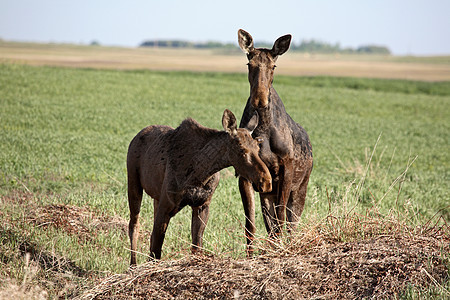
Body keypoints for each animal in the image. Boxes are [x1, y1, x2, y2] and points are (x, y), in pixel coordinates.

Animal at [128, 109, 272, 264]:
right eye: (241, 149)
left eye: (257, 147)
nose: (266, 182)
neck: (201, 172)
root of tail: (135, 138)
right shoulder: (166, 205)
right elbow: (156, 249)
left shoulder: (202, 205)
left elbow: (196, 246)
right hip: (133, 184)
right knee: (134, 225)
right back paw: (132, 265)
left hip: (156, 197)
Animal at [239, 28, 312, 253]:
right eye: (249, 64)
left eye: (274, 66)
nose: (259, 100)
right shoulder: (246, 176)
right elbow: (250, 224)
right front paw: (250, 255)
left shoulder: (286, 168)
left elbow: (281, 219)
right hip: (267, 193)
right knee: (270, 225)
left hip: (301, 188)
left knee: (291, 223)